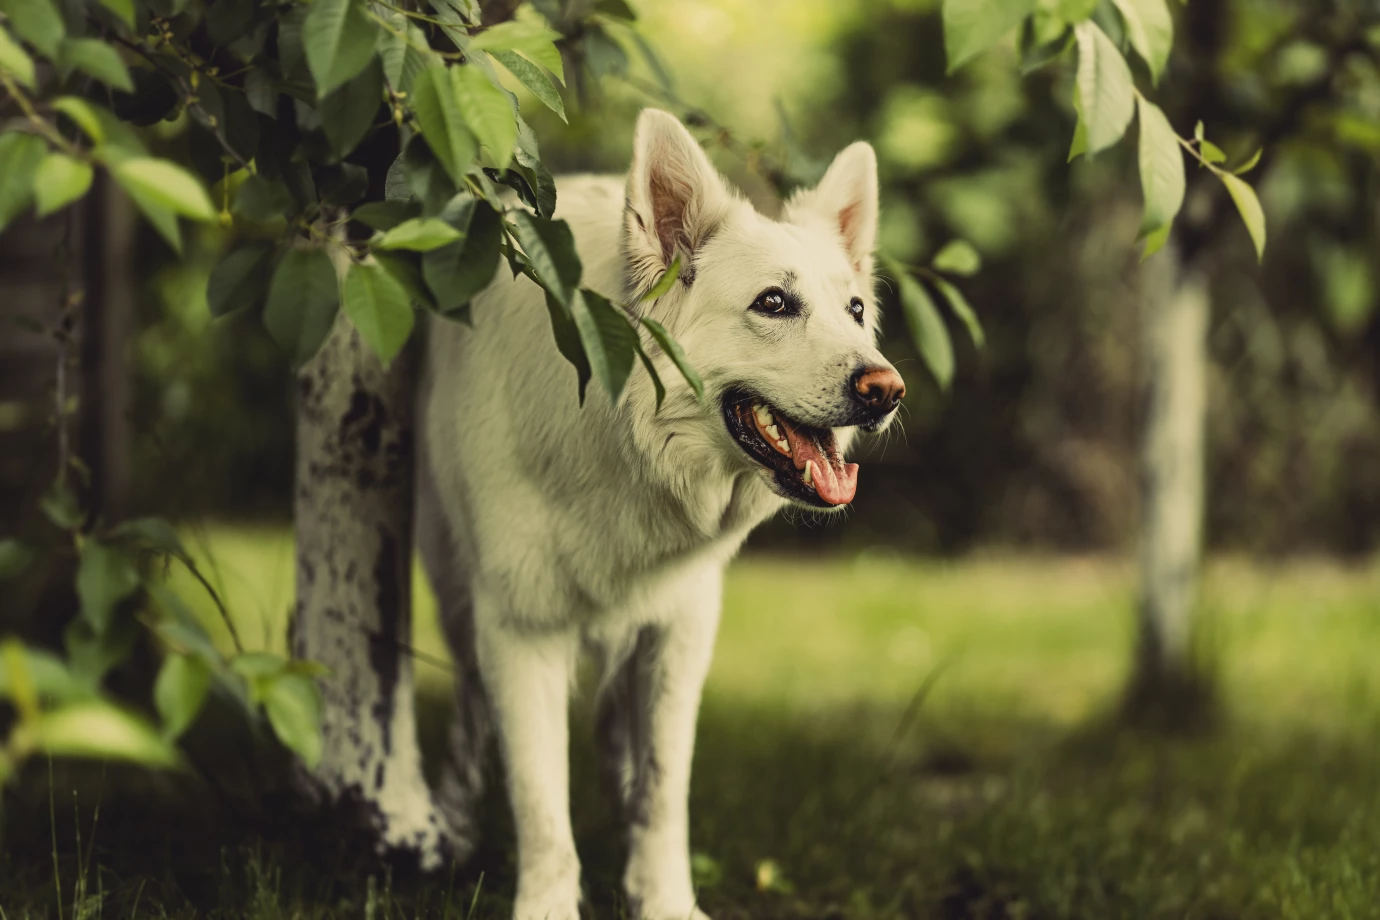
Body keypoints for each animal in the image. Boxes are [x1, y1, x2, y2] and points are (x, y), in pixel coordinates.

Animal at [411, 109, 905, 920]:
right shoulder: (519, 630)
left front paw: (663, 898)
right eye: (774, 303)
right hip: (458, 601)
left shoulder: (680, 628)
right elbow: (541, 802)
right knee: (470, 715)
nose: (888, 389)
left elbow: (663, 790)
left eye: (856, 311)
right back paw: (448, 818)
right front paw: (548, 903)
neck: (621, 445)